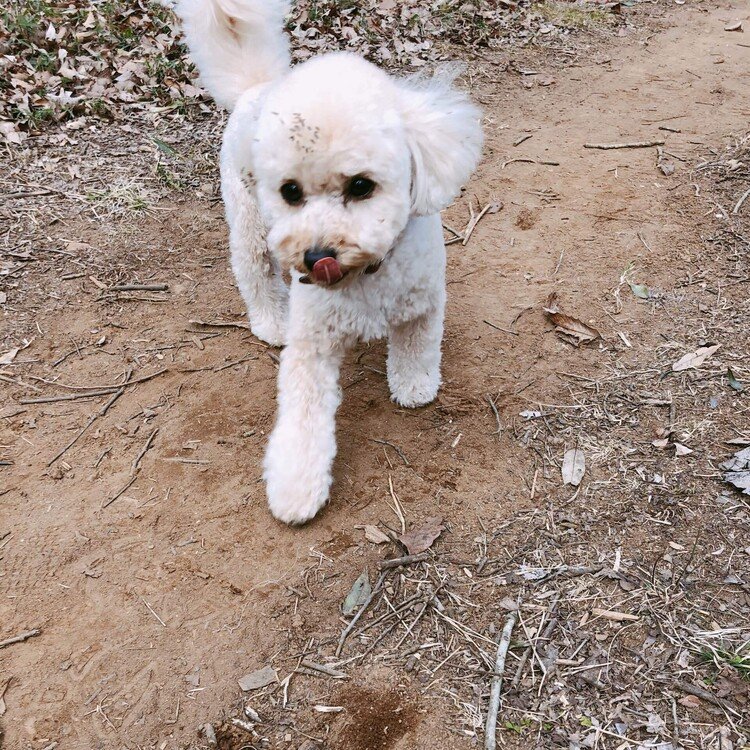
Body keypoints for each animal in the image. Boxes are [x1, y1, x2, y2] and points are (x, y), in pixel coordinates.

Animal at [179, 0, 484, 524]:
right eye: (290, 192)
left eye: (361, 185)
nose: (315, 256)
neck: (363, 275)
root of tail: (257, 87)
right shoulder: (312, 345)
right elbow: (302, 415)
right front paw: (295, 488)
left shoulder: (423, 302)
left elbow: (417, 347)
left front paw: (415, 385)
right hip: (248, 222)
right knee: (254, 271)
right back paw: (269, 321)